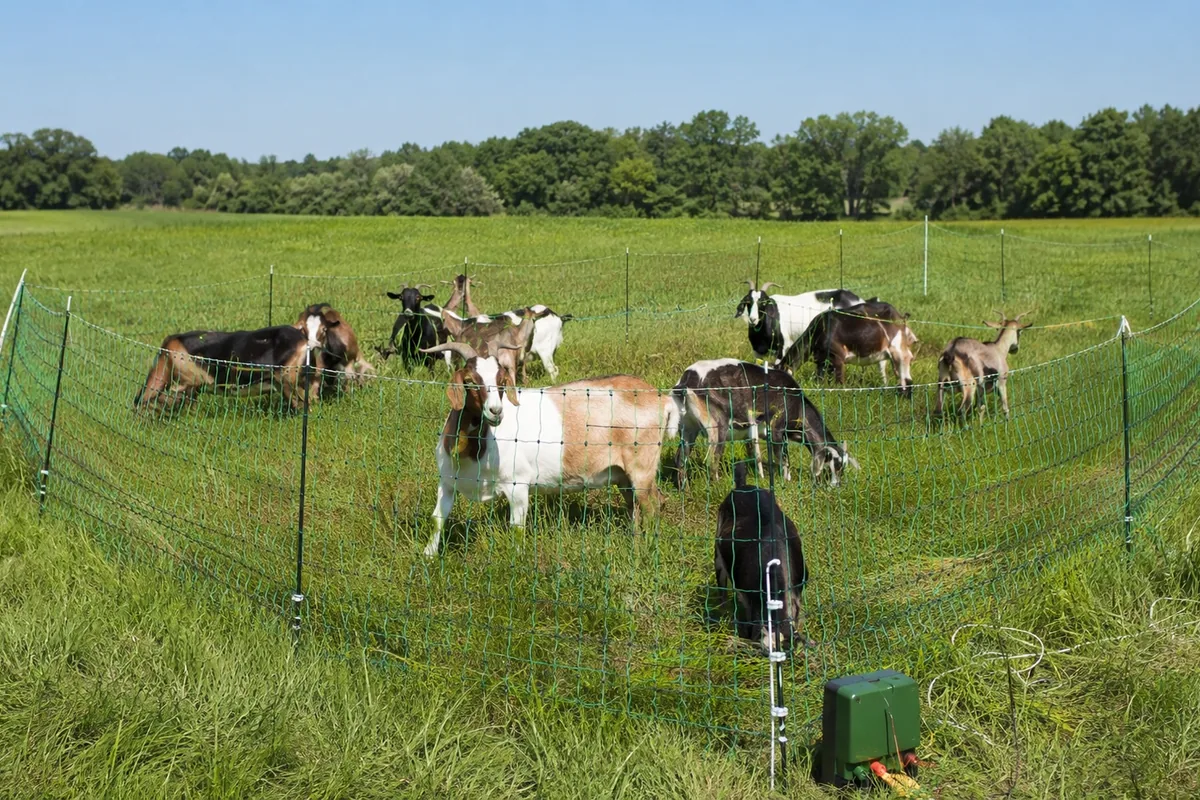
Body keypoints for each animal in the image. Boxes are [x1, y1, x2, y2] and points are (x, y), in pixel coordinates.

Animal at [419, 341, 679, 556]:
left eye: (501, 382)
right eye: (471, 381)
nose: (496, 412)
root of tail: (662, 400)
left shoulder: (518, 484)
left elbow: (517, 528)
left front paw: (516, 559)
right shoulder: (446, 482)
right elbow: (437, 519)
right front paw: (428, 556)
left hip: (641, 465)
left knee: (652, 504)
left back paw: (647, 548)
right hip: (623, 475)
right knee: (637, 505)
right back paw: (635, 544)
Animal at [672, 359, 858, 488]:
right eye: (836, 465)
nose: (836, 486)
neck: (798, 405)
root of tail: (688, 379)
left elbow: (757, 456)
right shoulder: (777, 429)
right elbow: (783, 459)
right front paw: (786, 482)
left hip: (688, 428)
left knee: (681, 458)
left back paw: (684, 489)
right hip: (718, 426)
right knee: (712, 458)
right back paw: (716, 485)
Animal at [779, 299, 915, 394]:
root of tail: (898, 314)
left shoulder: (837, 356)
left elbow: (839, 383)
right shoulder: (821, 361)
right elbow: (819, 380)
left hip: (897, 347)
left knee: (904, 363)